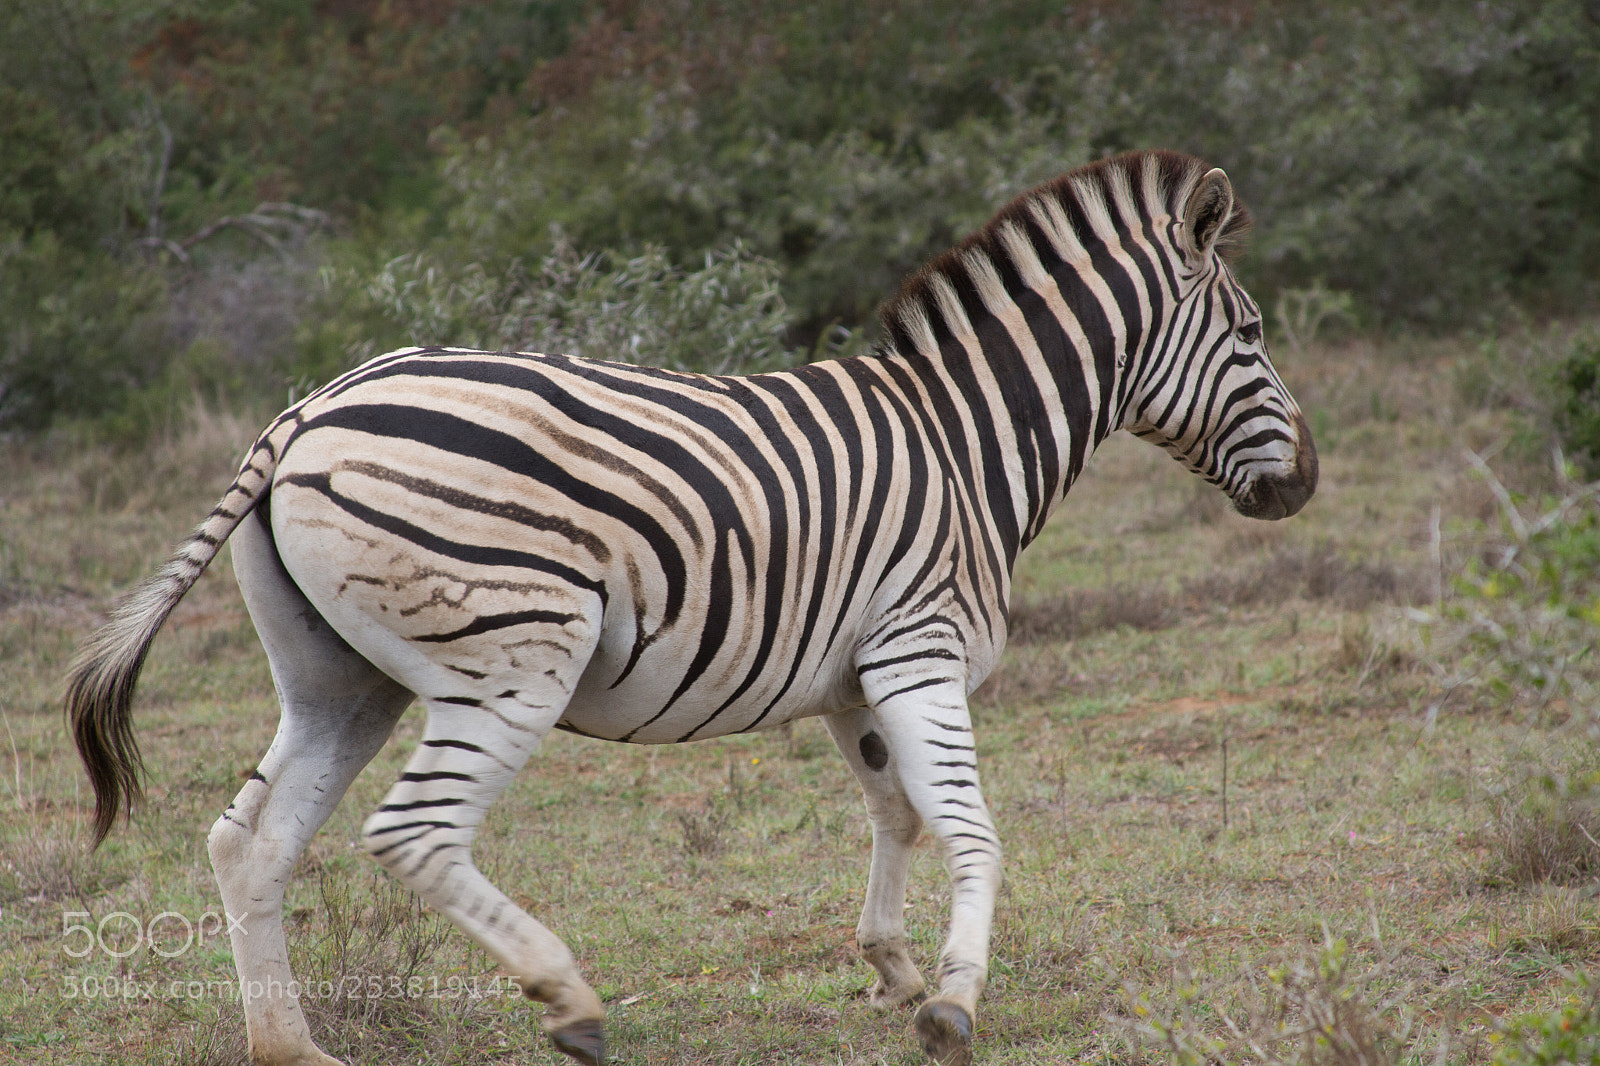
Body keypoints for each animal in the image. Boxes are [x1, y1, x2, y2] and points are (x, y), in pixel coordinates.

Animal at [68, 149, 1316, 1066]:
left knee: (250, 841)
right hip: (514, 654)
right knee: (410, 830)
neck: (966, 443)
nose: (1304, 483)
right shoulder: (920, 644)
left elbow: (897, 811)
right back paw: (567, 997)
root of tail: (306, 410)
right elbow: (967, 822)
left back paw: (291, 1045)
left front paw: (892, 965)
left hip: (342, 675)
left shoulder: (852, 675)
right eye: (1253, 336)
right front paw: (955, 999)